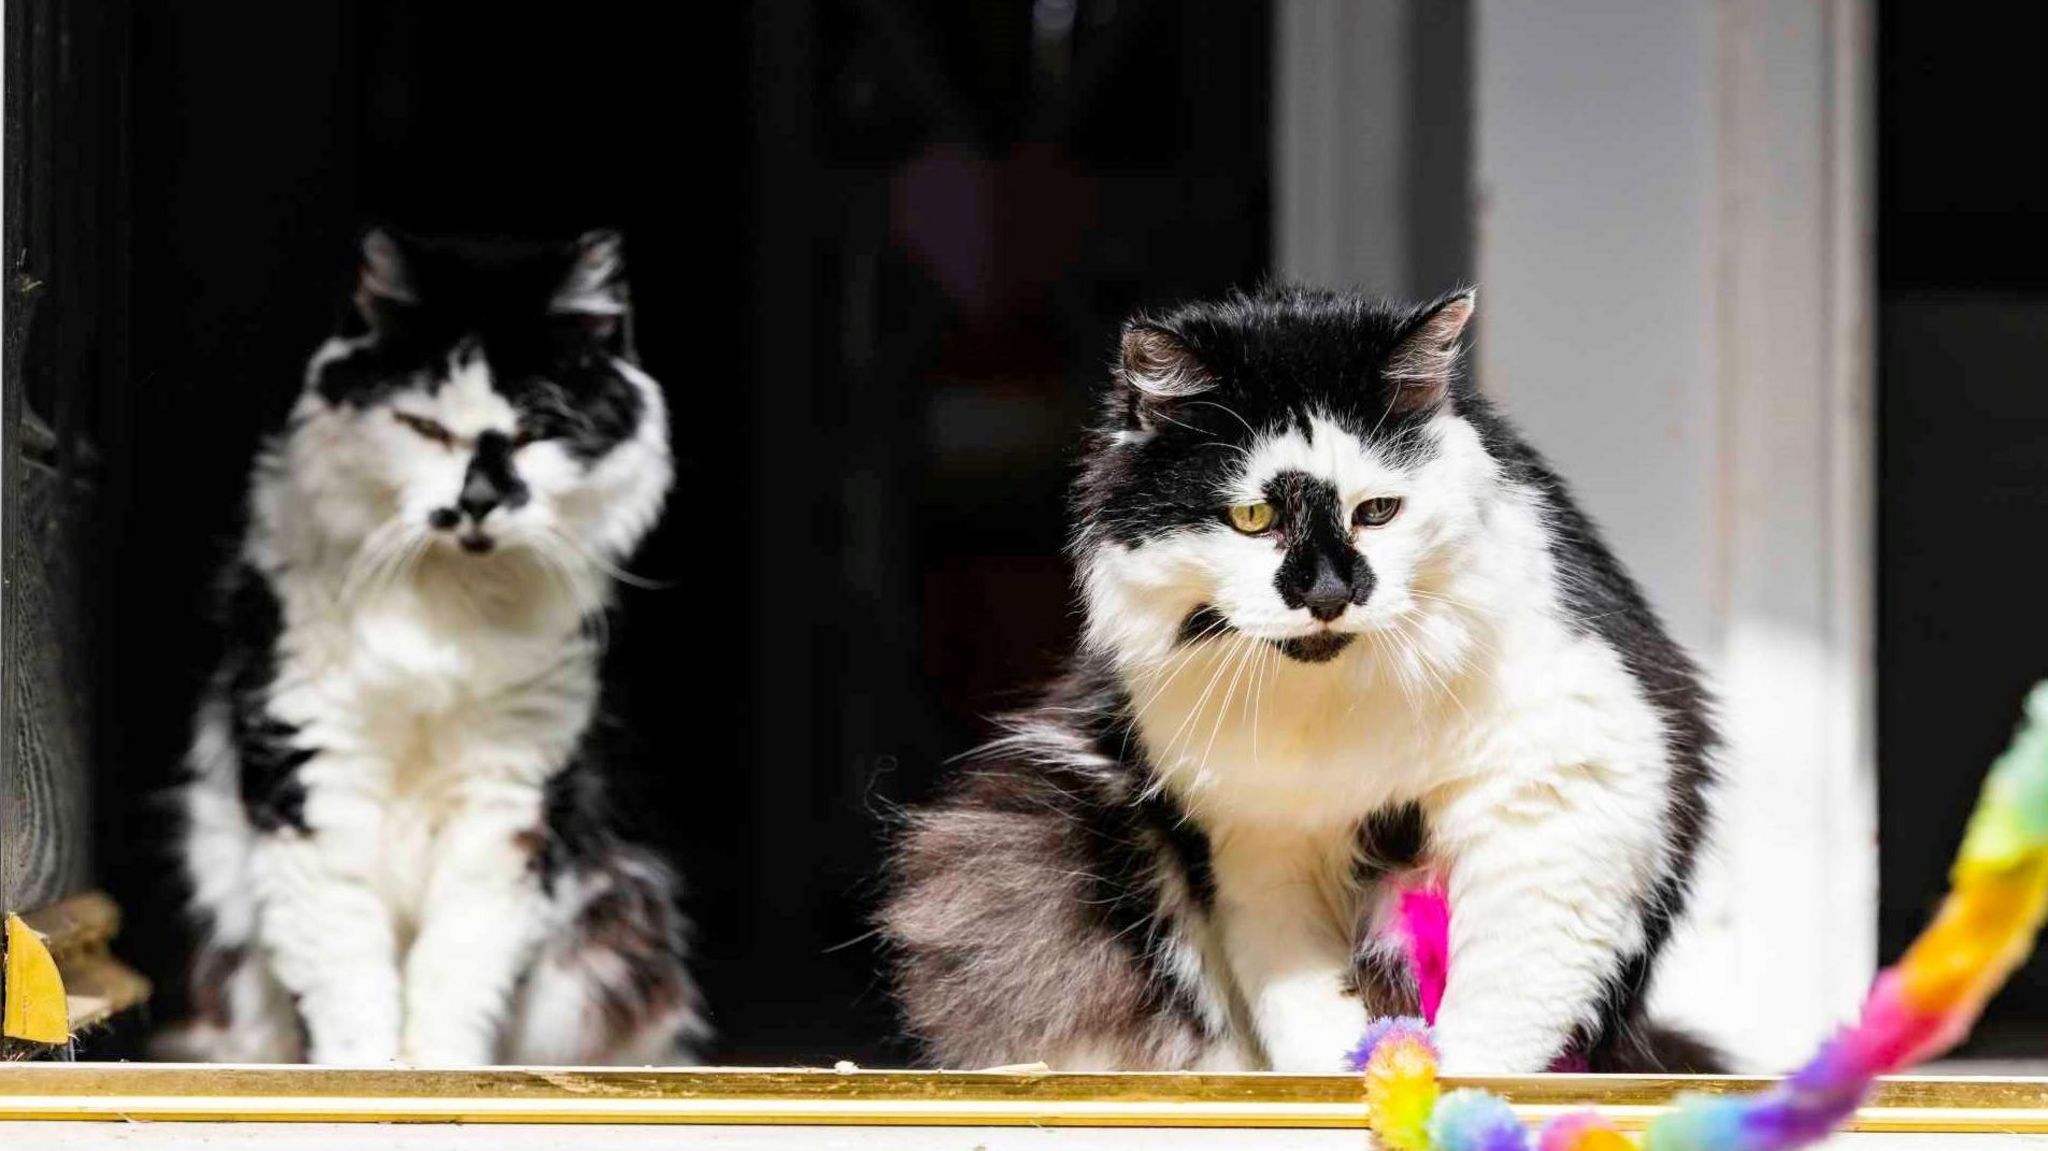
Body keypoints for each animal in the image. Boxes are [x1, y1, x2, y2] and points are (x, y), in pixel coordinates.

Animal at [155, 228, 708, 1064]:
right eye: (426, 430)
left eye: (535, 431)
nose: (475, 502)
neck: (449, 612)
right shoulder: (314, 774)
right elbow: (348, 982)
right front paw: (364, 1073)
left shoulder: (508, 805)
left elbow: (457, 972)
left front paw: (438, 1070)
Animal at [880, 288, 1728, 1073]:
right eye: (1254, 517)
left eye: (1378, 511)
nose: (1327, 594)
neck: (1336, 703)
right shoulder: (1257, 842)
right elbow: (1298, 1002)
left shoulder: (1568, 780)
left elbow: (1503, 1006)